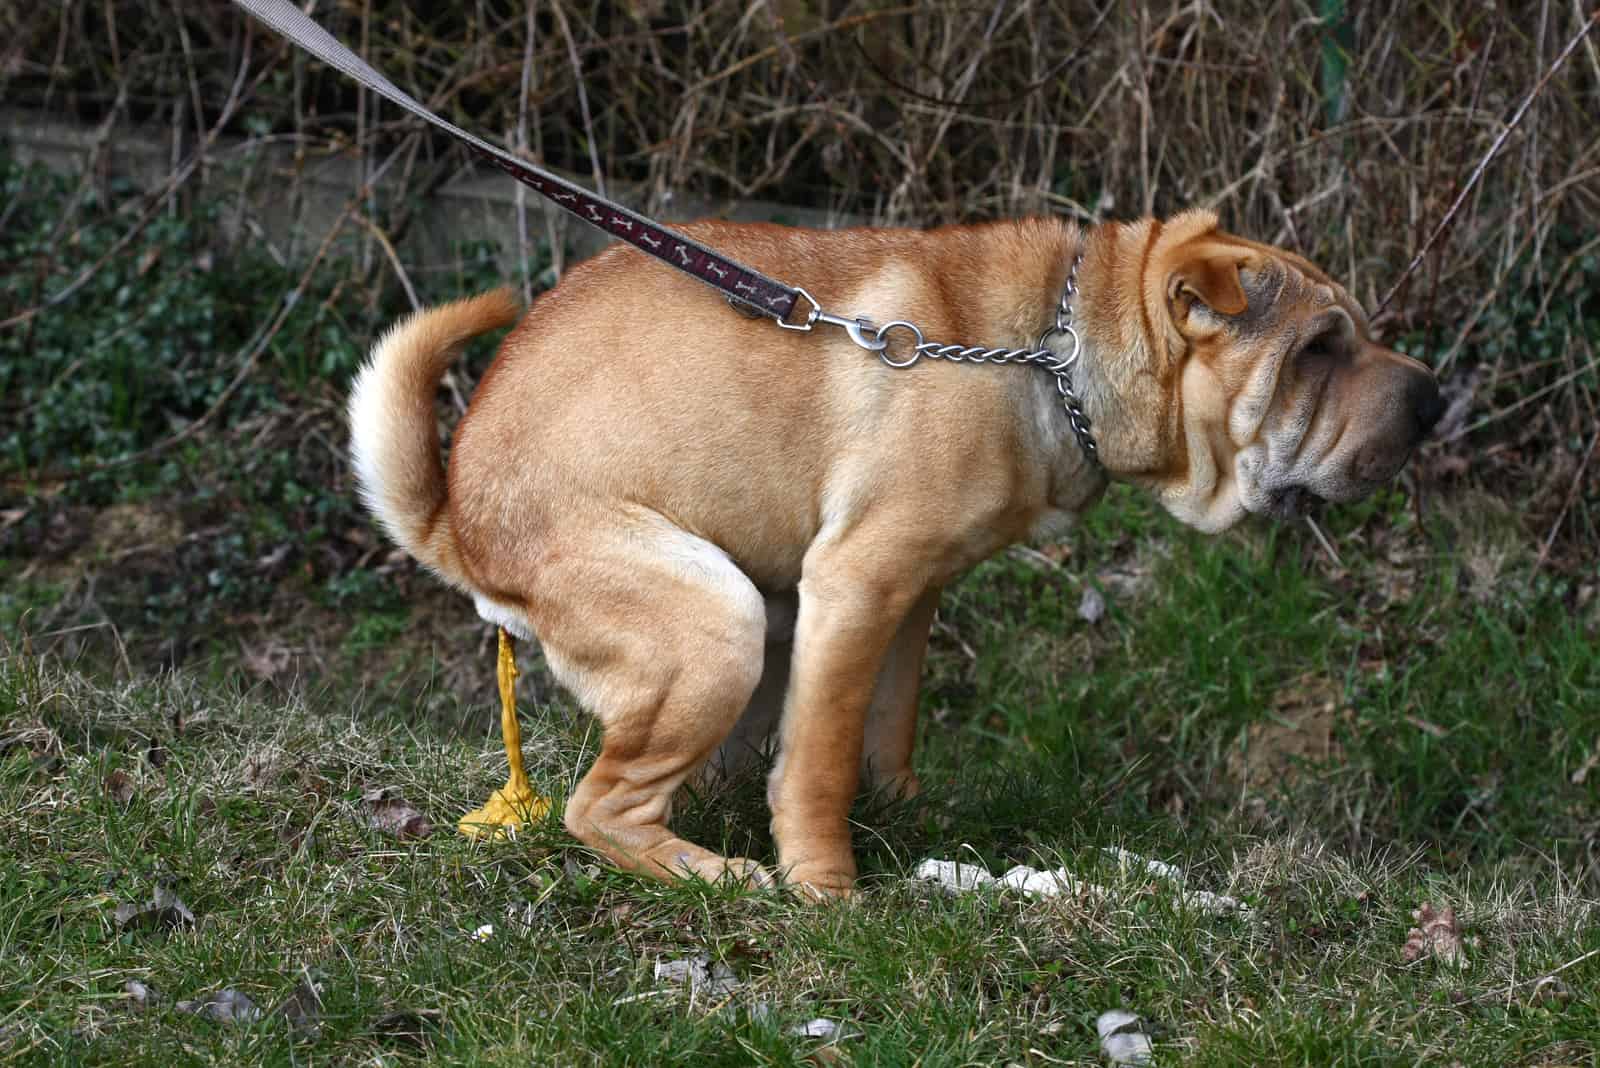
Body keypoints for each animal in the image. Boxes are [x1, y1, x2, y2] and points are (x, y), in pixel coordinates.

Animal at [347, 207, 1440, 895]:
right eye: (1318, 352)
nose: (1434, 397)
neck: (1054, 355)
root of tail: (458, 522)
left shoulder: (910, 598)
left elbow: (886, 728)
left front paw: (908, 817)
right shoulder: (859, 582)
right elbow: (822, 760)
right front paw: (829, 887)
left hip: (760, 615)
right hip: (716, 622)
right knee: (599, 808)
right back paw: (720, 877)